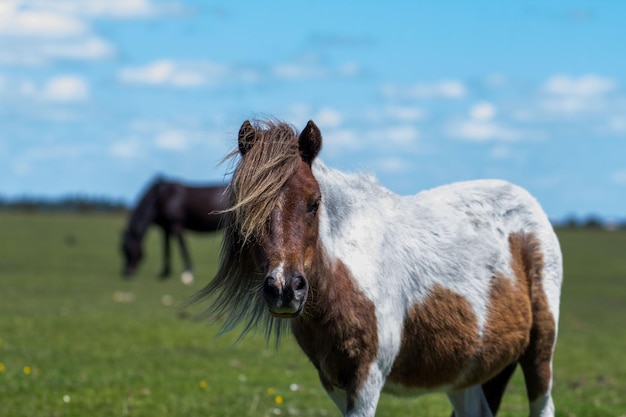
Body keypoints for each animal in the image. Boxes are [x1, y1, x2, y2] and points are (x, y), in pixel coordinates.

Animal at [194, 118, 560, 414]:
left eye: (314, 203)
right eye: (246, 209)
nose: (285, 289)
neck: (347, 273)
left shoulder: (366, 378)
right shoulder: (334, 382)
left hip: (539, 355)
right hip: (464, 373)